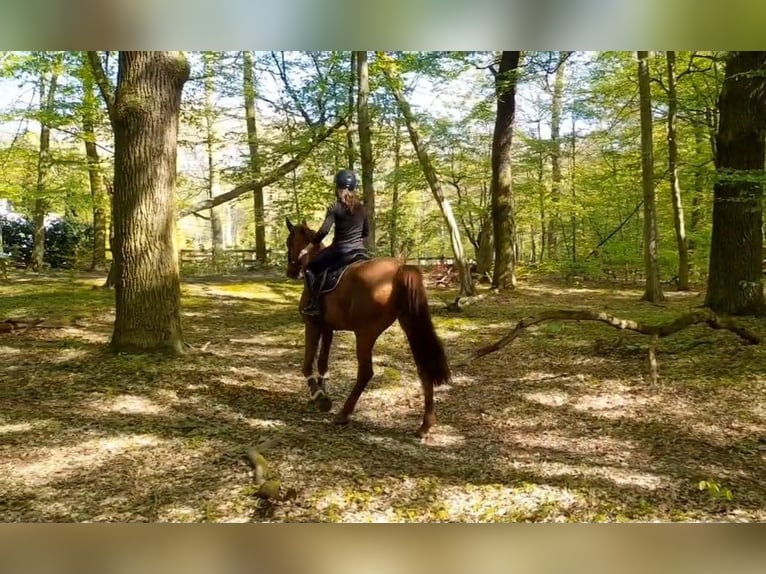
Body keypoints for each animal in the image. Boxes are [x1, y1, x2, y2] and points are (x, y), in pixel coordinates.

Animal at [284, 218, 451, 437]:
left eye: (289, 242)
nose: (291, 272)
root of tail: (399, 269)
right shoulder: (327, 328)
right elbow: (322, 363)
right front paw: (321, 395)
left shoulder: (312, 324)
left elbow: (307, 365)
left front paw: (319, 398)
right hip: (409, 326)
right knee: (423, 367)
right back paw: (425, 424)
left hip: (365, 334)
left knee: (365, 372)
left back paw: (344, 414)